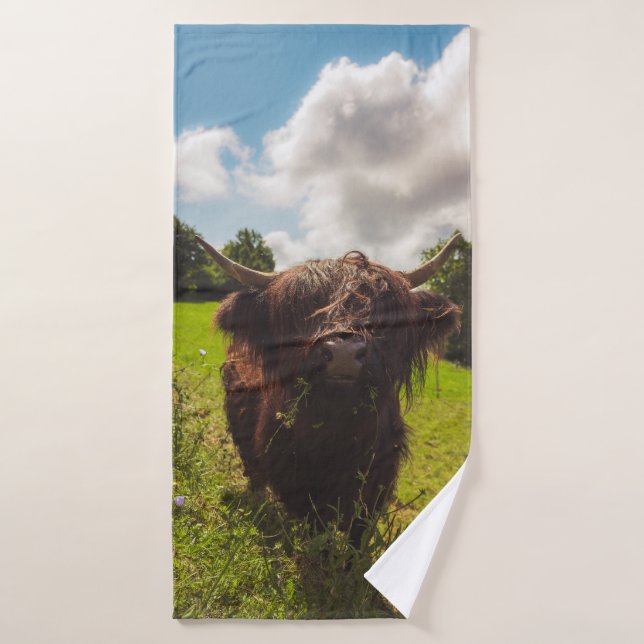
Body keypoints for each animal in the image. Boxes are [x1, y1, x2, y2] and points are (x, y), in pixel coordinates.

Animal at [196, 234, 462, 550]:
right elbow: (316, 529)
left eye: (383, 309)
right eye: (300, 309)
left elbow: (358, 533)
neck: (338, 432)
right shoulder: (297, 482)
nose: (343, 353)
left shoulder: (376, 482)